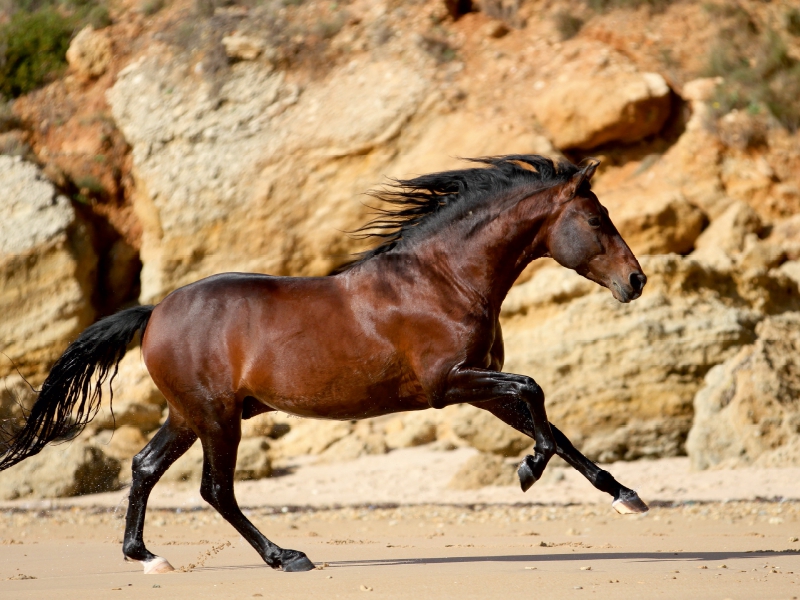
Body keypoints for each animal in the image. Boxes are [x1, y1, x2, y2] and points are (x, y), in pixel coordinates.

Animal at [0, 154, 648, 572]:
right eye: (597, 220)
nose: (636, 281)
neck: (442, 280)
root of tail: (156, 309)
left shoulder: (481, 389)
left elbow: (554, 427)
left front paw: (624, 495)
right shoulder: (450, 384)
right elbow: (535, 394)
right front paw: (528, 470)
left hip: (189, 416)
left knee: (144, 466)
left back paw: (145, 555)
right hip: (216, 419)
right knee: (215, 489)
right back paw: (285, 556)